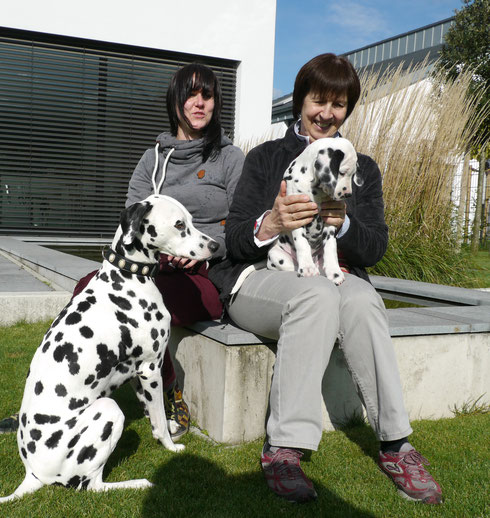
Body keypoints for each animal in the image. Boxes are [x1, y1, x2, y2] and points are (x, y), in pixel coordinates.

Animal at [0, 195, 218, 504]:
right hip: (108, 410)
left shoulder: (138, 374)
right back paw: (138, 483)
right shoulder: (151, 368)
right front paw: (171, 447)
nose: (215, 246)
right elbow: (160, 419)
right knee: (91, 485)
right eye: (179, 224)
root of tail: (32, 474)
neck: (128, 277)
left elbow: (155, 418)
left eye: (191, 219)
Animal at [266, 136, 362, 286]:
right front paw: (307, 268)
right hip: (276, 255)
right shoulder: (296, 216)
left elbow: (331, 247)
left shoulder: (330, 220)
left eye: (352, 175)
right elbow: (302, 242)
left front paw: (335, 272)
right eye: (341, 172)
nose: (348, 194)